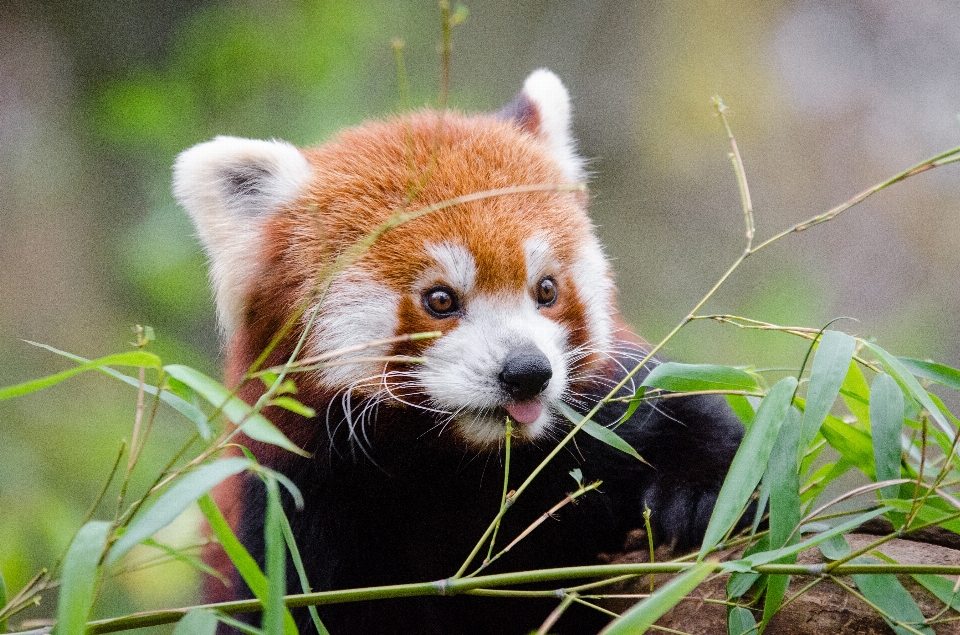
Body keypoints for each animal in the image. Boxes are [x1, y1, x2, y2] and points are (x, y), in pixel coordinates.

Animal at [174, 69, 744, 635]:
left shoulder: (598, 419)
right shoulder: (290, 505)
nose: (527, 372)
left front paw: (705, 494)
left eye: (546, 290)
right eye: (441, 299)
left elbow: (692, 419)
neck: (459, 463)